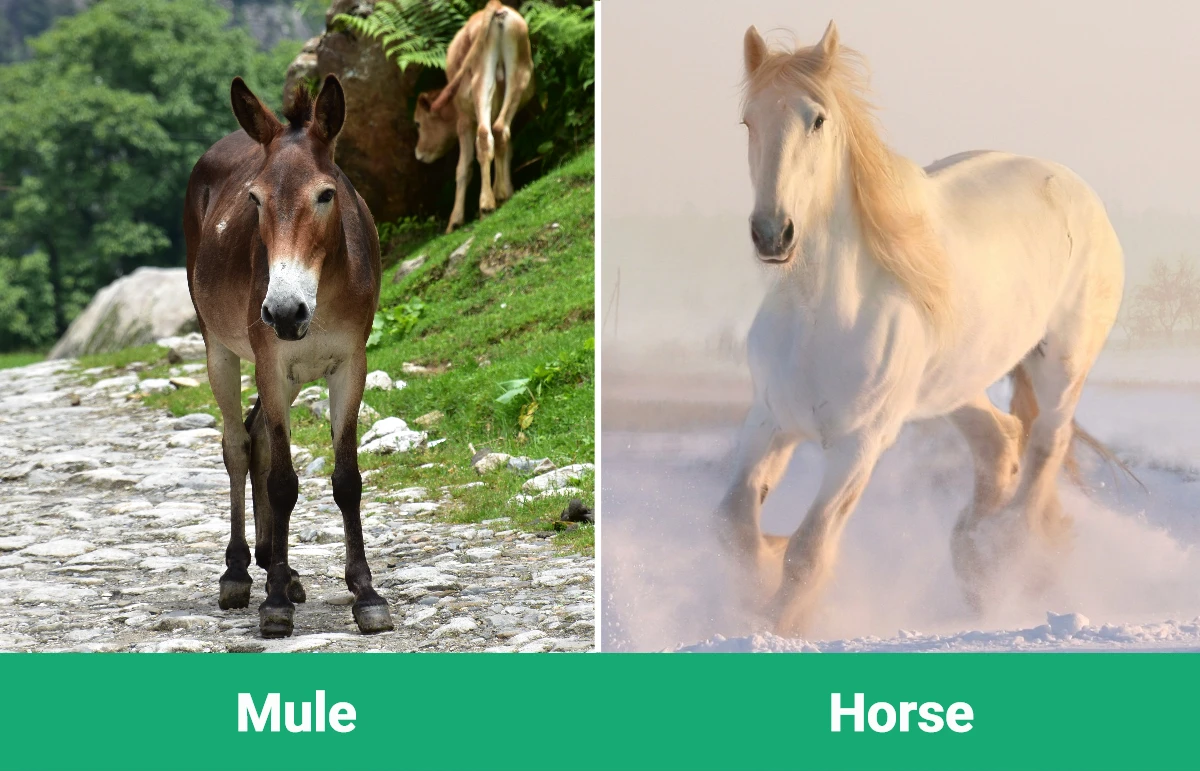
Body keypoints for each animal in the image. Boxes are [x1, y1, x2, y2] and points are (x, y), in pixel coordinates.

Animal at [184, 75, 393, 638]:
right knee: (237, 445)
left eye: (326, 194)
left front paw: (366, 593)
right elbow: (282, 482)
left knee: (256, 435)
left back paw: (278, 563)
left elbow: (347, 480)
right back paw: (240, 571)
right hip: (221, 350)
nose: (283, 310)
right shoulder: (270, 363)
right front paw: (274, 602)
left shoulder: (351, 364)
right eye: (254, 200)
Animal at [413, 0, 534, 233]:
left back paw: (486, 205)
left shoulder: (464, 122)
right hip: (519, 74)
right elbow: (507, 149)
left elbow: (463, 168)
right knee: (500, 130)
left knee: (485, 137)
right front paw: (507, 190)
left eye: (418, 124)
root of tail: (496, 7)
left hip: (481, 80)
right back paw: (500, 194)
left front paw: (455, 220)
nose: (418, 153)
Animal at [720, 21, 1125, 636]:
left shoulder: (859, 445)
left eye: (817, 119)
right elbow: (735, 526)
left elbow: (808, 551)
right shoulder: (769, 419)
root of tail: (1077, 190)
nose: (773, 234)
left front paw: (778, 622)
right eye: (749, 121)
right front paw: (758, 579)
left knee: (1044, 449)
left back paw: (1004, 555)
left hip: (1062, 364)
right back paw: (974, 559)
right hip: (955, 385)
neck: (821, 316)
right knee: (1000, 441)